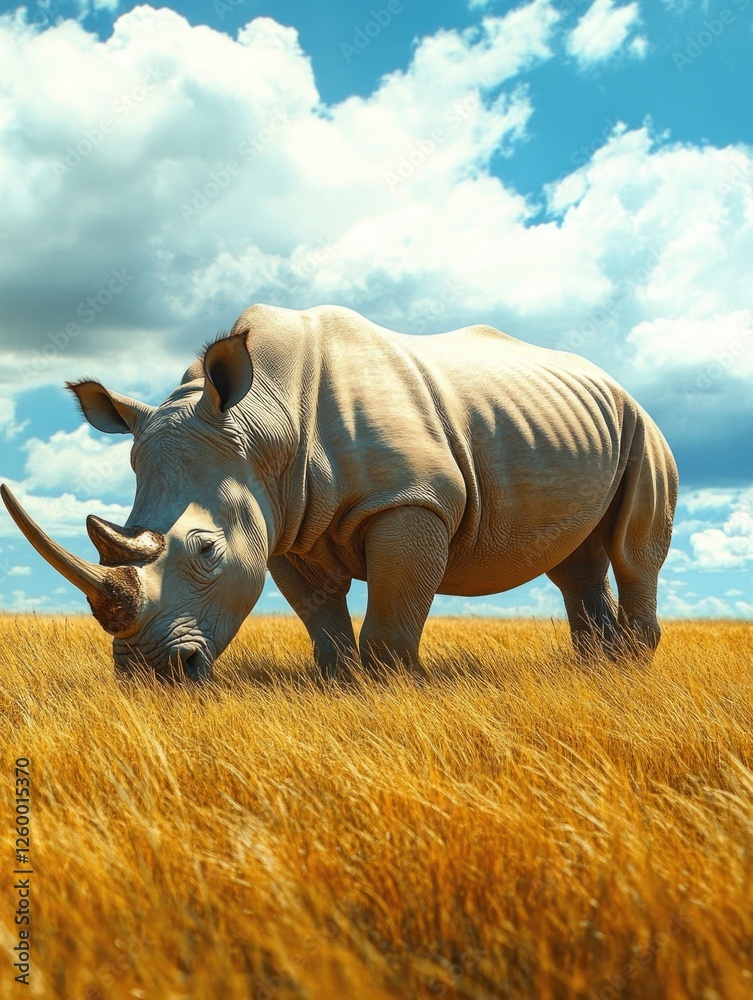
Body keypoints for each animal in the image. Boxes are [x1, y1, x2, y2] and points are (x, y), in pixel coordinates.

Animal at [1, 303, 678, 680]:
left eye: (207, 552)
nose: (149, 675)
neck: (262, 422)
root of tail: (613, 381)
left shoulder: (412, 499)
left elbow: (393, 620)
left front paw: (393, 689)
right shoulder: (284, 522)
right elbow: (320, 617)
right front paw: (339, 685)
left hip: (642, 426)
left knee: (632, 552)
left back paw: (630, 673)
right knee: (575, 562)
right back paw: (596, 672)